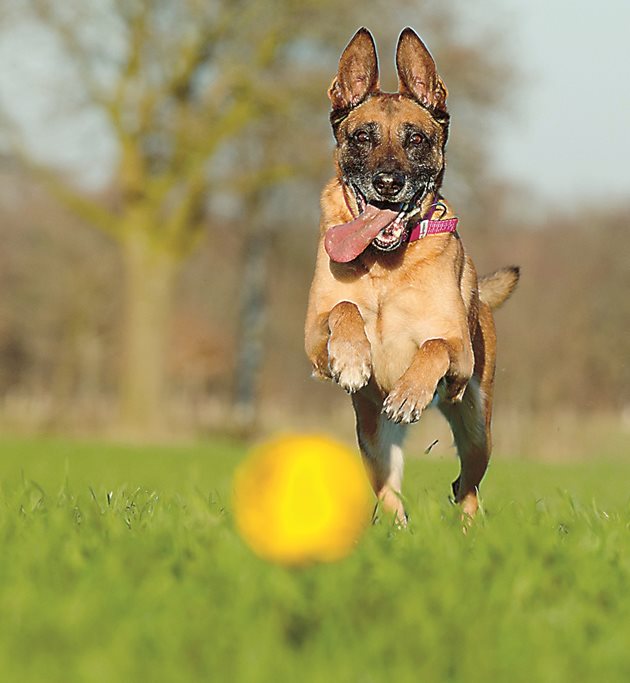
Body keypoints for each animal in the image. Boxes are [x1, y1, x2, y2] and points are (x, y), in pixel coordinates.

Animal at [304, 24, 520, 520]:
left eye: (416, 139)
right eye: (362, 137)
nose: (387, 183)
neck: (385, 267)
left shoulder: (459, 355)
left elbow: (435, 345)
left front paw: (408, 393)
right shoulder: (312, 343)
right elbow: (343, 308)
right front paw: (353, 358)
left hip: (478, 429)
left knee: (467, 486)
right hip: (372, 442)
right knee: (390, 495)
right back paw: (397, 531)